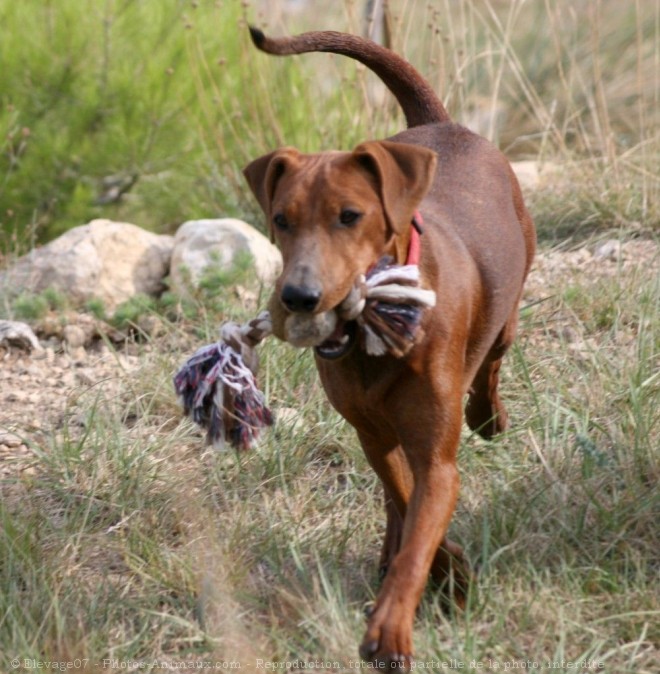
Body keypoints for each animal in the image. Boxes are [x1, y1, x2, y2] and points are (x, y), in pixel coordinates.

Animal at [242, 28, 536, 664]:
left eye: (350, 215)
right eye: (280, 219)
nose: (299, 297)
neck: (373, 340)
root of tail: (440, 123)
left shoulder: (436, 456)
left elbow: (421, 524)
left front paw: (393, 626)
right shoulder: (375, 437)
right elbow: (405, 504)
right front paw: (449, 573)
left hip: (509, 304)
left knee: (493, 361)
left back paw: (489, 417)